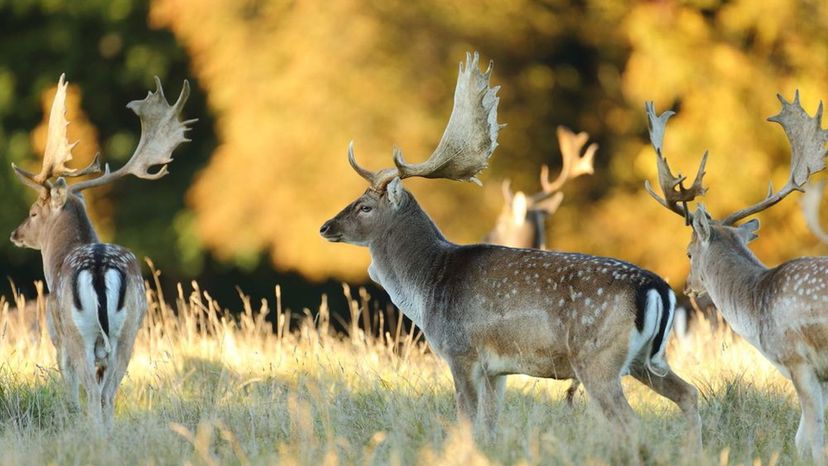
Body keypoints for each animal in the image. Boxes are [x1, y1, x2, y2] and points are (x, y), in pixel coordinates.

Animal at [8, 73, 192, 430]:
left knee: (94, 393)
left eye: (34, 212)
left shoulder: (57, 337)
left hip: (79, 333)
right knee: (109, 392)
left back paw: (93, 433)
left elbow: (69, 389)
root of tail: (97, 267)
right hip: (129, 331)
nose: (15, 234)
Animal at [316, 52, 700, 450]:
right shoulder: (495, 370)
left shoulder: (461, 352)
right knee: (689, 394)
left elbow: (466, 422)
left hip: (598, 358)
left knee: (630, 421)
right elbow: (489, 425)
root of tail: (658, 289)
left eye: (364, 207)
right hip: (645, 359)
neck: (427, 287)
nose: (325, 227)